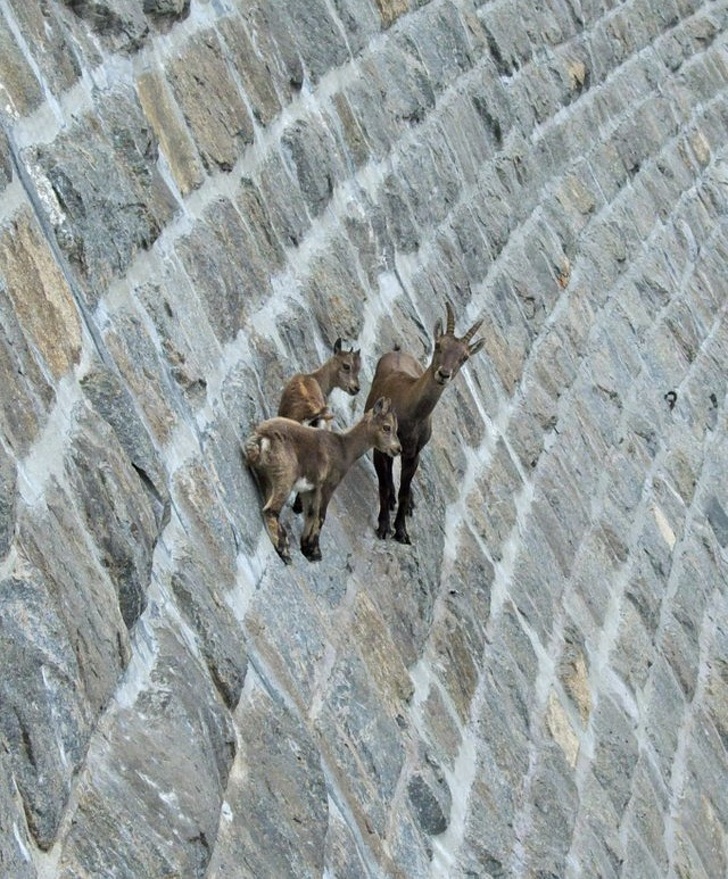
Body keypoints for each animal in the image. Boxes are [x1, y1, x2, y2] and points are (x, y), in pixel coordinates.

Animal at [244, 397, 400, 563]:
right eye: (387, 427)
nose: (398, 449)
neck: (345, 449)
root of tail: (261, 437)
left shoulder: (311, 489)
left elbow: (311, 513)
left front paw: (306, 547)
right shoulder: (328, 485)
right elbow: (321, 516)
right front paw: (315, 552)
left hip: (267, 477)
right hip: (286, 476)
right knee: (270, 510)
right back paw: (284, 550)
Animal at [364, 302, 484, 544]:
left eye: (465, 357)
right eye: (439, 345)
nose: (444, 374)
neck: (410, 414)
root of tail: (398, 351)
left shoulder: (414, 454)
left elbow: (404, 489)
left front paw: (402, 531)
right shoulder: (380, 449)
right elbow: (383, 485)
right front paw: (383, 527)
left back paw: (408, 503)